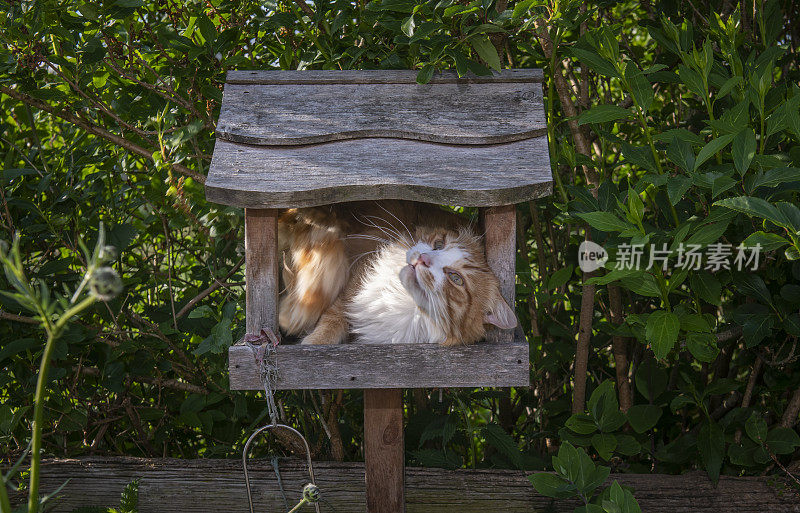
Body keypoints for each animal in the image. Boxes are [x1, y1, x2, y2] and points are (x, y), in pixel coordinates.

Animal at [276, 200, 520, 344]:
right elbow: (332, 319)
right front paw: (312, 341)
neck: (398, 301)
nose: (423, 259)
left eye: (456, 278)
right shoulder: (351, 284)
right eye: (439, 244)